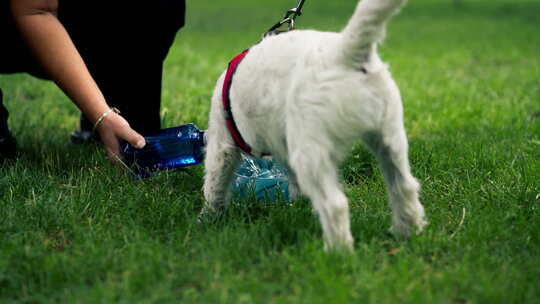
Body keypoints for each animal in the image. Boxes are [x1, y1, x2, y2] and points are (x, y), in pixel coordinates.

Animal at [201, 0, 426, 251]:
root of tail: (345, 53)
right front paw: (298, 205)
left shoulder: (222, 144)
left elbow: (214, 183)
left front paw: (208, 218)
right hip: (389, 135)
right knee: (404, 186)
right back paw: (407, 233)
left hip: (311, 148)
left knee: (335, 204)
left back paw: (337, 252)